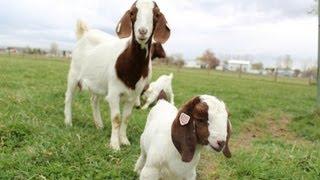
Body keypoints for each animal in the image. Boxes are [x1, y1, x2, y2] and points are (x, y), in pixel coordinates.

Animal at [63, 0, 171, 150]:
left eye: (156, 14)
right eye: (132, 13)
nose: (142, 31)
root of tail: (85, 33)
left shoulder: (133, 94)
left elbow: (126, 117)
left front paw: (124, 140)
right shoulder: (114, 92)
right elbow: (116, 118)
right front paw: (114, 144)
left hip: (98, 81)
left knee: (94, 100)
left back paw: (99, 125)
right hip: (74, 73)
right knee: (69, 96)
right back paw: (68, 122)